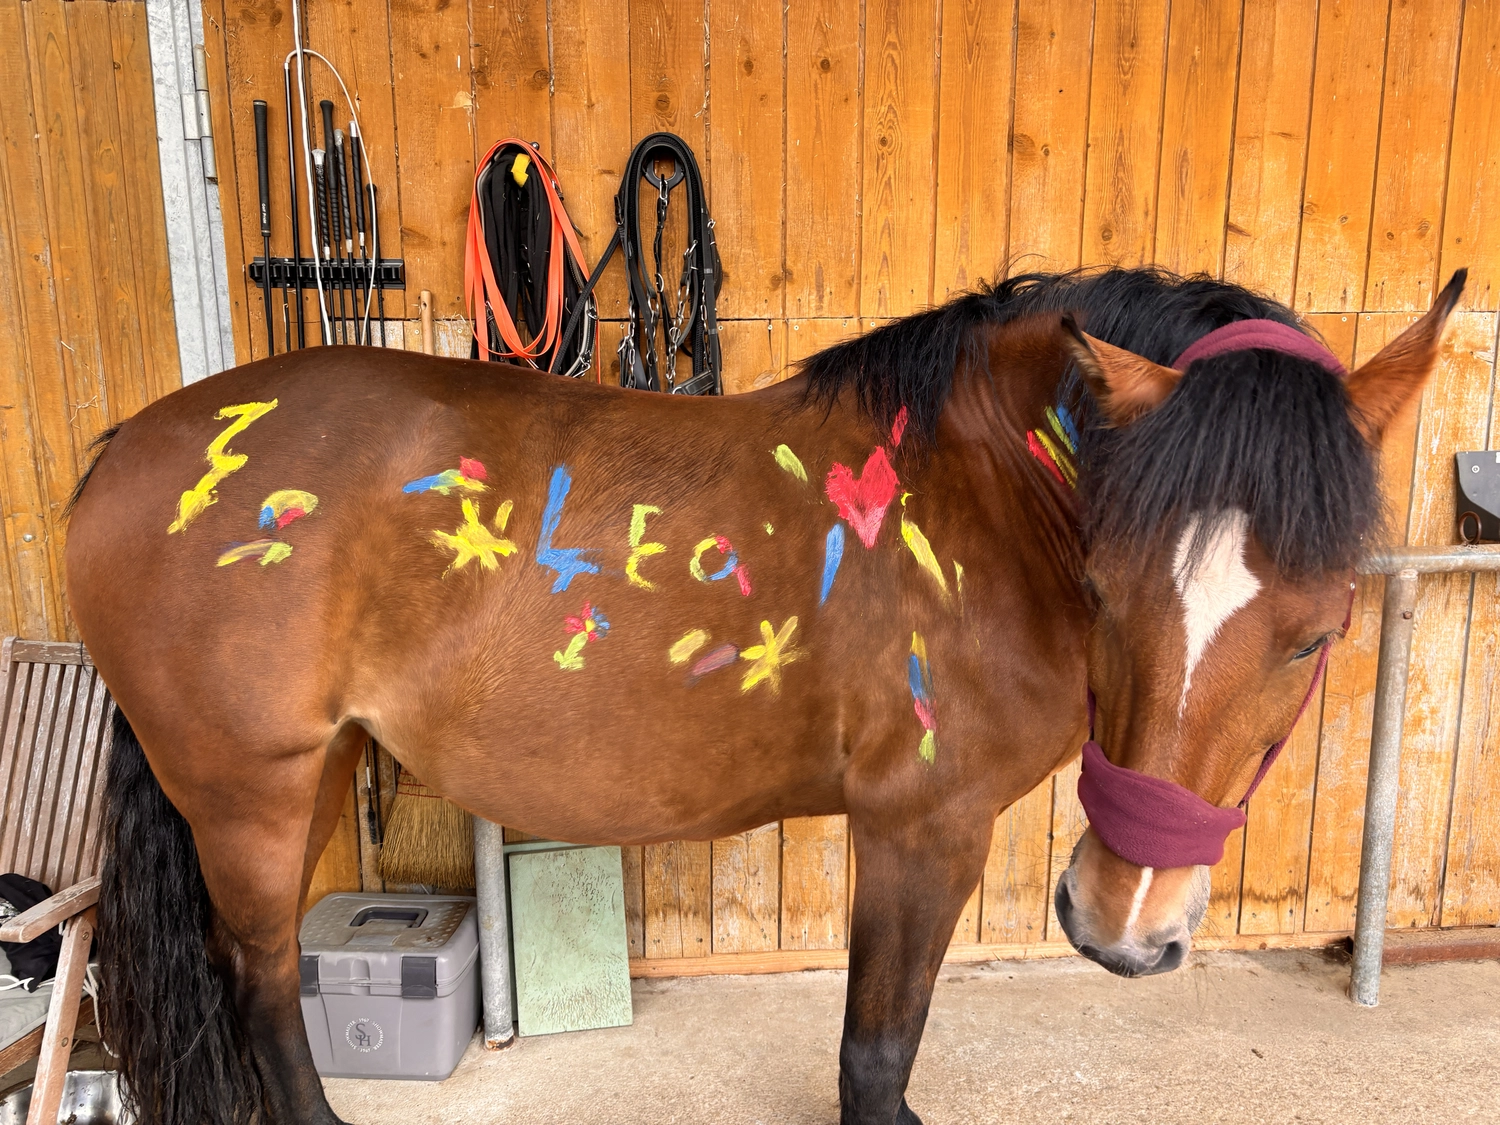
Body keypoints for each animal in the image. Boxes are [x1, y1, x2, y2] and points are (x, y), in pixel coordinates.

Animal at [64, 265, 1464, 1125]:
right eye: (1109, 592)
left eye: (1316, 634)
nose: (1122, 924)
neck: (974, 492)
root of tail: (128, 447)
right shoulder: (921, 830)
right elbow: (875, 1051)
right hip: (247, 796)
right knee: (258, 982)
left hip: (303, 781)